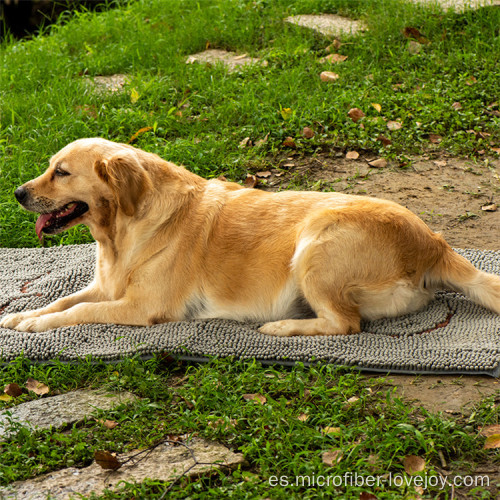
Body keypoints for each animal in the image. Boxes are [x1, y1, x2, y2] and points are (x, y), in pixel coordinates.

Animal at [0, 137, 500, 334]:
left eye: (61, 172)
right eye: (50, 167)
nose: (18, 192)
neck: (120, 232)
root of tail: (434, 242)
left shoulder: (139, 307)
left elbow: (77, 313)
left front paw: (34, 325)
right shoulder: (104, 285)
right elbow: (63, 300)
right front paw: (20, 315)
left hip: (315, 245)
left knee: (345, 324)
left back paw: (282, 327)